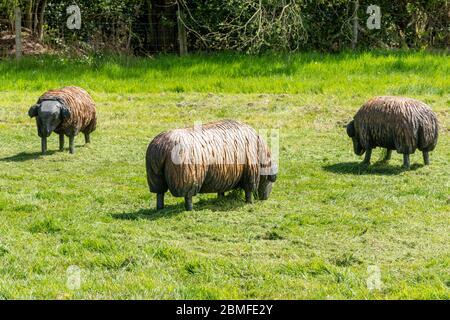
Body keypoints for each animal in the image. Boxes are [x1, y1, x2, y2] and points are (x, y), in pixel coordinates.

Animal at [146, 119, 276, 210]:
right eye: (270, 179)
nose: (264, 199)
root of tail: (162, 148)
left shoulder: (224, 175)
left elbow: (221, 190)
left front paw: (221, 198)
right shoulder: (250, 173)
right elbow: (249, 191)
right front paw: (249, 202)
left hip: (155, 177)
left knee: (159, 193)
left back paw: (160, 208)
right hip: (187, 178)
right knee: (188, 196)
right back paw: (189, 209)